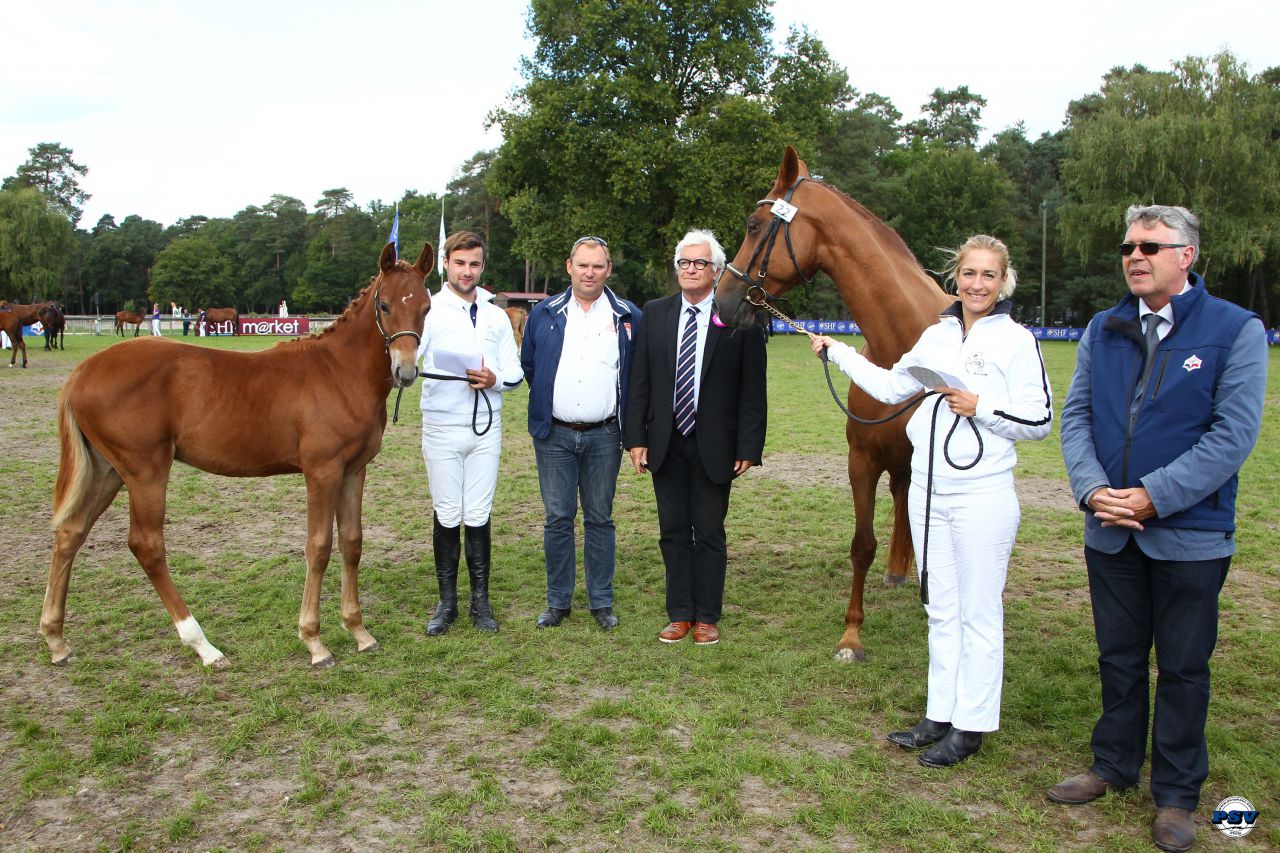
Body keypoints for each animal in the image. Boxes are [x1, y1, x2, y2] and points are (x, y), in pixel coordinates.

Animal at [41, 242, 433, 669]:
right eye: (384, 305)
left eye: (426, 306)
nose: (406, 371)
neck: (339, 372)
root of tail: (82, 370)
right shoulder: (322, 471)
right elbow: (318, 547)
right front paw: (314, 641)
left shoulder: (354, 470)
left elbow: (352, 542)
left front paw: (359, 631)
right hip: (145, 470)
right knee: (146, 544)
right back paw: (203, 646)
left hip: (107, 469)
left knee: (71, 533)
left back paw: (56, 640)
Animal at [715, 146, 951, 663]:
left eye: (754, 225)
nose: (723, 301)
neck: (903, 345)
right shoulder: (861, 460)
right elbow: (862, 544)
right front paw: (851, 636)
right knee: (900, 500)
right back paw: (897, 571)